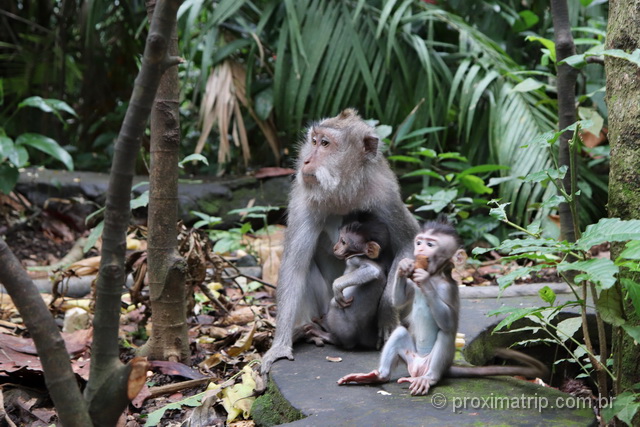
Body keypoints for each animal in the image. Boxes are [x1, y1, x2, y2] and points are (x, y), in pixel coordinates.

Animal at [304, 212, 390, 350]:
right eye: (340, 239)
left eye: (344, 242)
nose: (335, 247)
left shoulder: (356, 259)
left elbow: (373, 270)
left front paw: (337, 286)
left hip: (346, 330)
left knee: (335, 305)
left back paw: (329, 335)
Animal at [338, 219, 548, 396]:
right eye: (419, 242)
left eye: (430, 245)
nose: (419, 248)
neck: (435, 275)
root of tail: (419, 369)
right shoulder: (412, 285)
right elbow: (398, 301)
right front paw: (403, 266)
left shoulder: (449, 288)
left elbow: (448, 321)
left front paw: (425, 281)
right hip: (410, 357)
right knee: (400, 332)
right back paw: (378, 375)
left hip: (434, 364)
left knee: (445, 335)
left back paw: (429, 379)